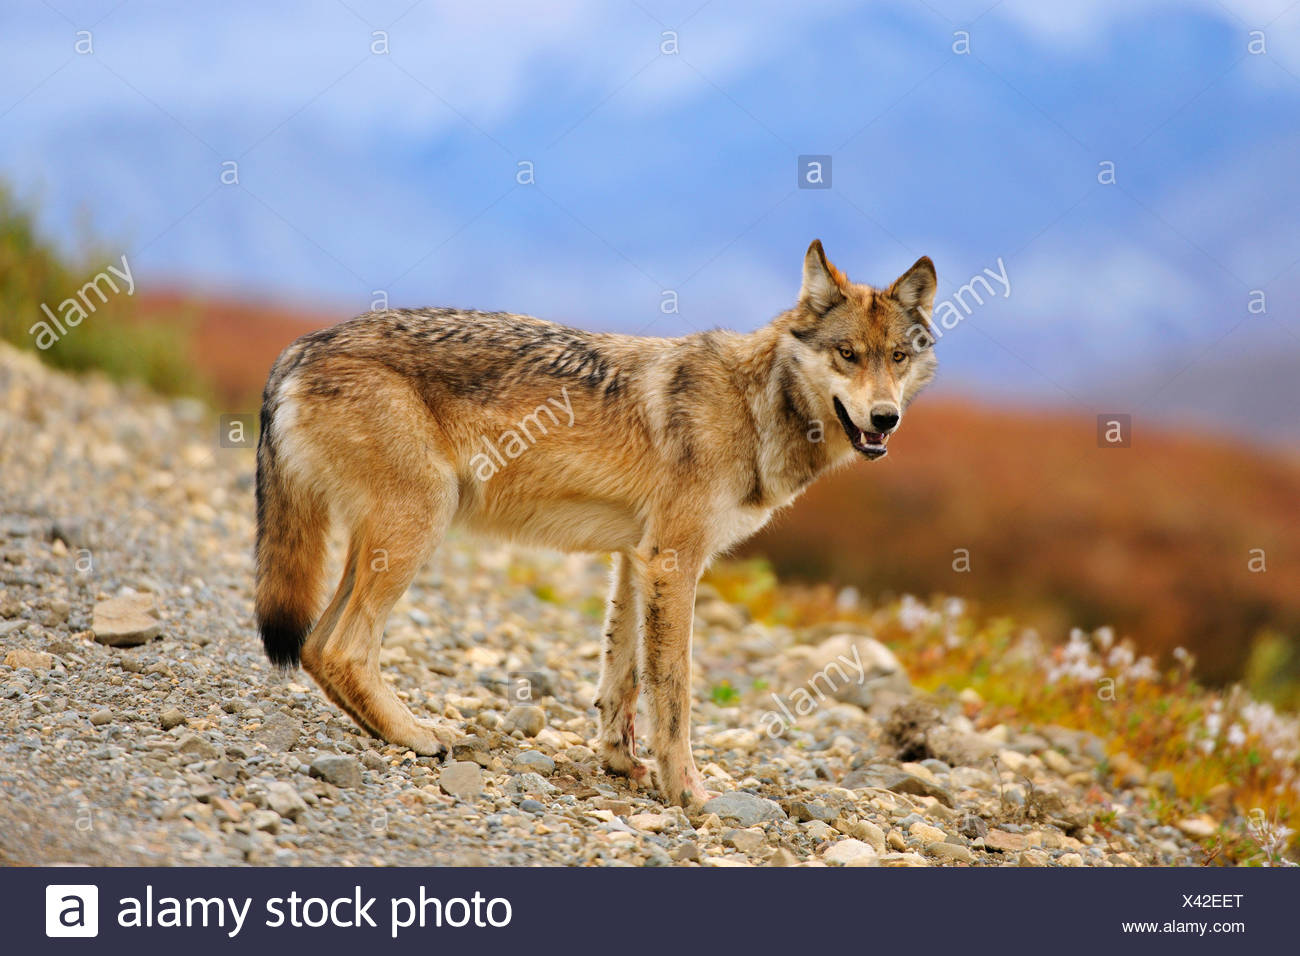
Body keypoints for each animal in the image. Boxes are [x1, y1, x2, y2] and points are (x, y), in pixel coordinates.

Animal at [254, 240, 937, 806]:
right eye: (847, 355)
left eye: (897, 357)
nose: (885, 419)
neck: (753, 406)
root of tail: (300, 346)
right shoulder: (674, 562)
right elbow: (673, 694)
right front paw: (687, 791)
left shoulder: (637, 559)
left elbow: (624, 678)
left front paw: (621, 764)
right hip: (419, 526)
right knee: (343, 648)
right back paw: (418, 735)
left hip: (377, 543)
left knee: (315, 646)